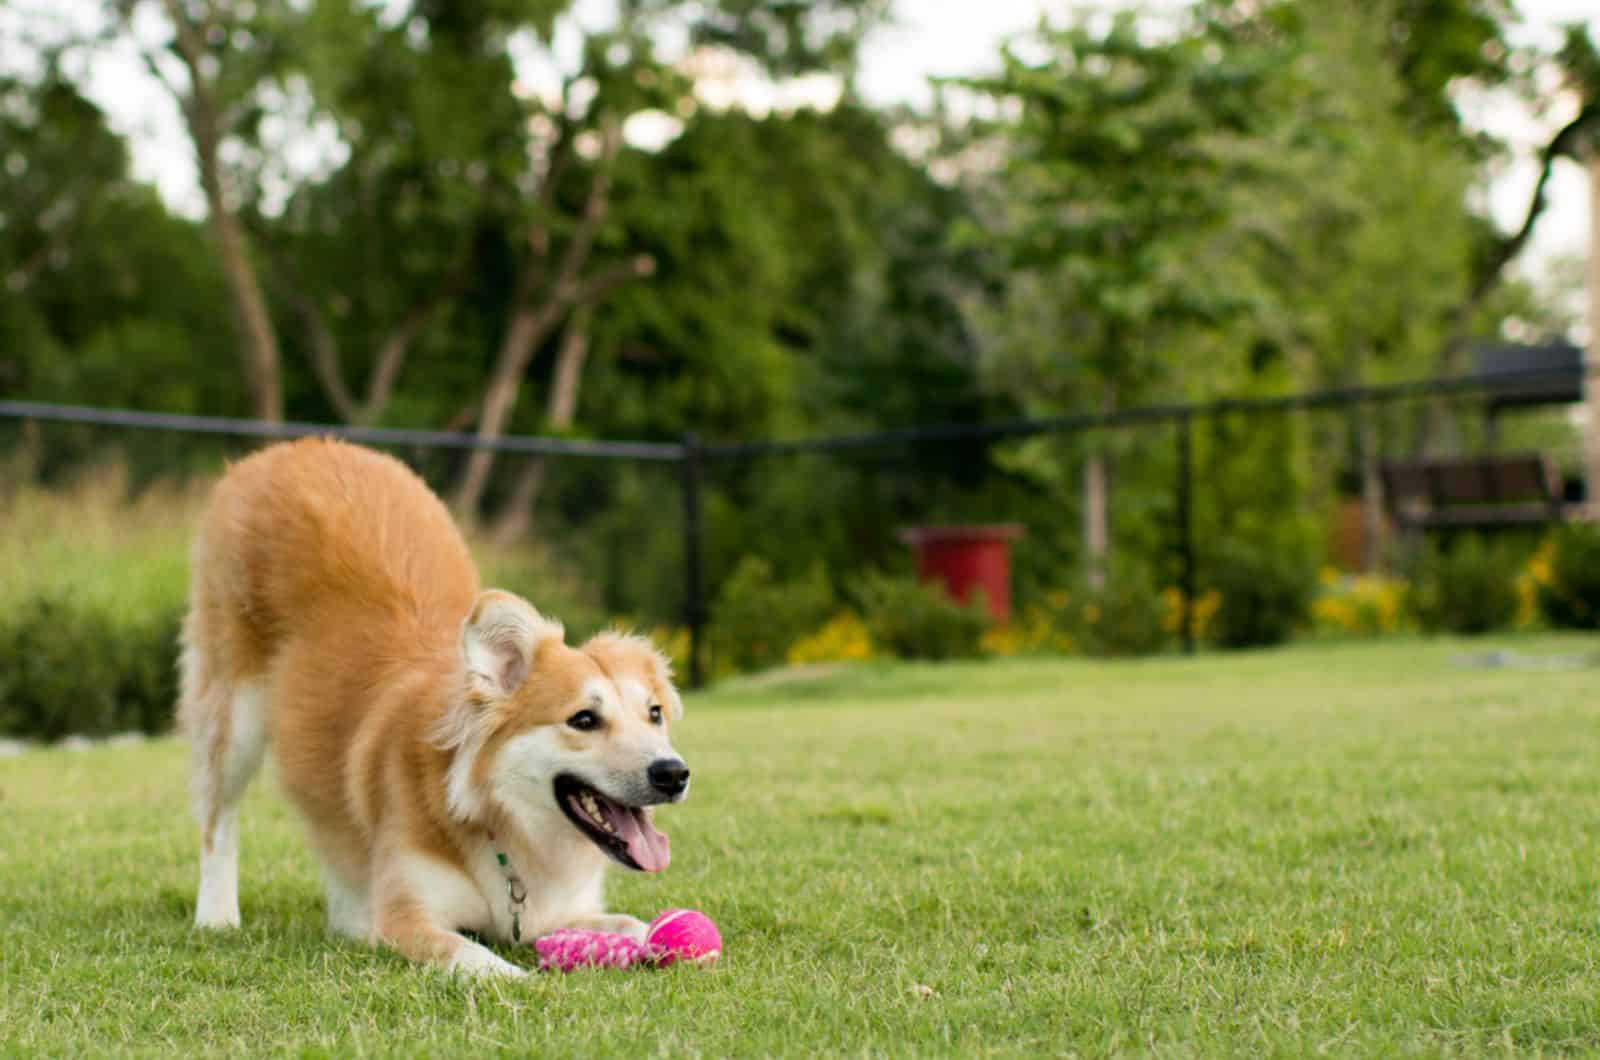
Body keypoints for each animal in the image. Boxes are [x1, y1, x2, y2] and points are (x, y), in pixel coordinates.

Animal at [176, 438, 688, 979]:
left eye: (654, 714)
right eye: (584, 720)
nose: (673, 773)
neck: (499, 820)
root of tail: (294, 447)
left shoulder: (560, 911)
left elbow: (634, 923)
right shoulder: (406, 920)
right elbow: (473, 955)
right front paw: (520, 978)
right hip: (233, 714)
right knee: (217, 820)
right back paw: (217, 915)